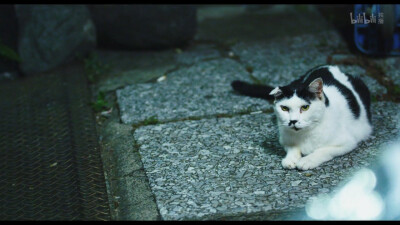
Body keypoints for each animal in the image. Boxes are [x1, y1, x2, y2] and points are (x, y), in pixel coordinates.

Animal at [231, 65, 372, 171]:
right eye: (284, 108)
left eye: (305, 107)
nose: (293, 121)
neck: (306, 134)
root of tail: (330, 66)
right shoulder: (284, 139)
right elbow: (292, 147)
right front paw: (291, 159)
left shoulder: (347, 142)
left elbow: (322, 150)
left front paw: (307, 160)